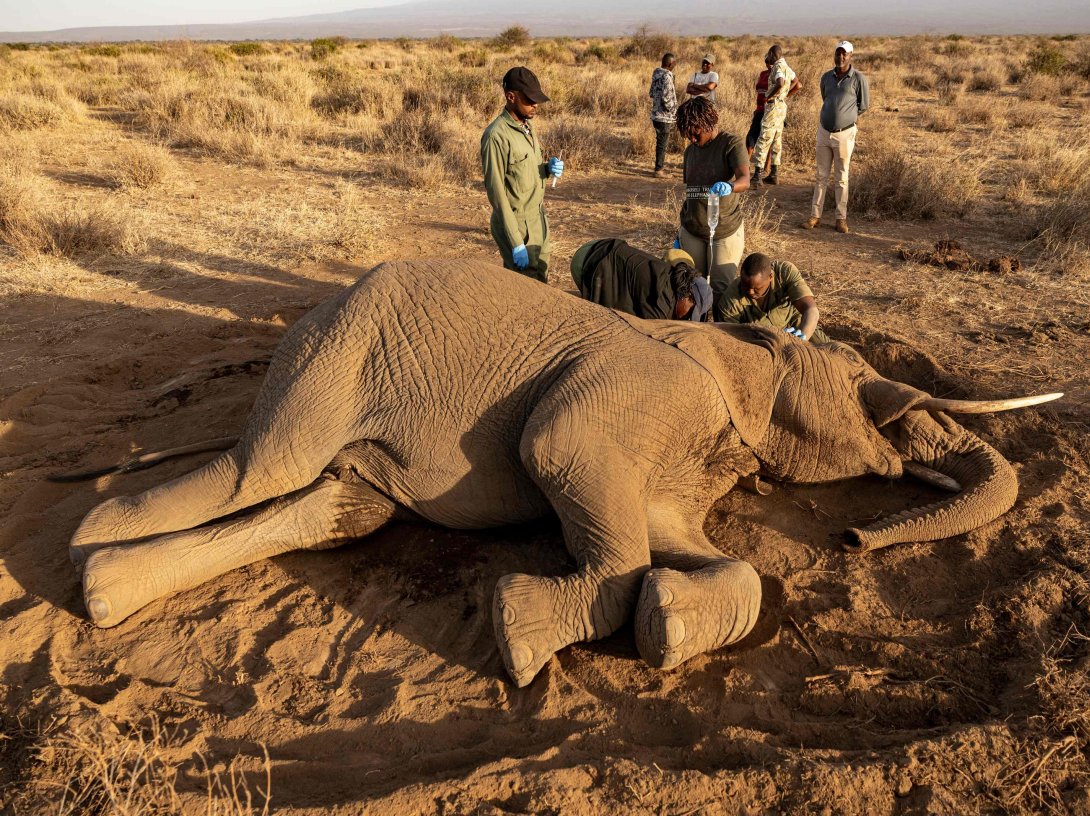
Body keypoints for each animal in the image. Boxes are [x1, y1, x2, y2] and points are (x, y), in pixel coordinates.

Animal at [67, 260, 1061, 687]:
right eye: (861, 383)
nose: (855, 535)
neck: (733, 347)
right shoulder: (642, 393)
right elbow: (559, 452)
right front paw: (519, 636)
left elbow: (695, 551)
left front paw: (667, 622)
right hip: (334, 354)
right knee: (255, 469)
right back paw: (89, 537)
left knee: (333, 510)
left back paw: (106, 592)